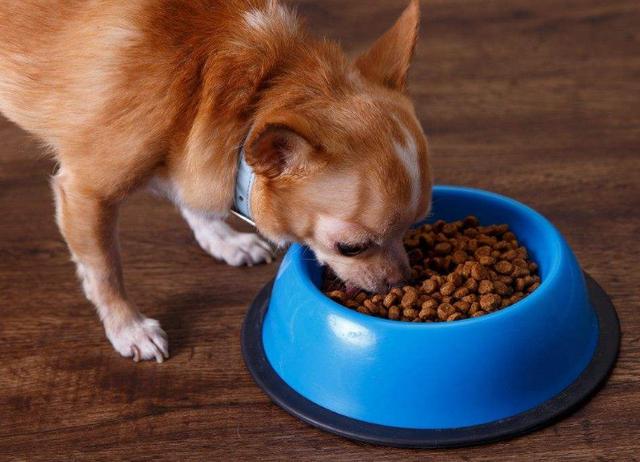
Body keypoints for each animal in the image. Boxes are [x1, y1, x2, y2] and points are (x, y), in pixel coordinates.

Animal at [0, 0, 432, 360]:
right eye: (351, 248)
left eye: (414, 226)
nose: (402, 281)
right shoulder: (86, 193)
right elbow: (104, 268)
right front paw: (128, 327)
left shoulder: (192, 150)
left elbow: (194, 200)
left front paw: (222, 239)